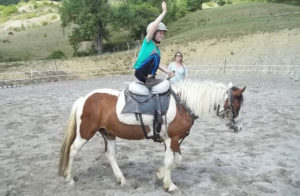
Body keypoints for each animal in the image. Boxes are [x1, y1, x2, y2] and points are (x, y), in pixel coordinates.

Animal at [58, 79, 246, 191]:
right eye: (237, 105)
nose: (239, 127)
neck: (182, 104)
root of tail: (85, 99)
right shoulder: (172, 139)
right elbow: (171, 161)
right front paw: (169, 185)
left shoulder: (173, 141)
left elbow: (175, 160)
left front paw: (160, 174)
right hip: (85, 133)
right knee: (73, 151)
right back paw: (69, 179)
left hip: (109, 134)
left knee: (110, 155)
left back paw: (121, 179)